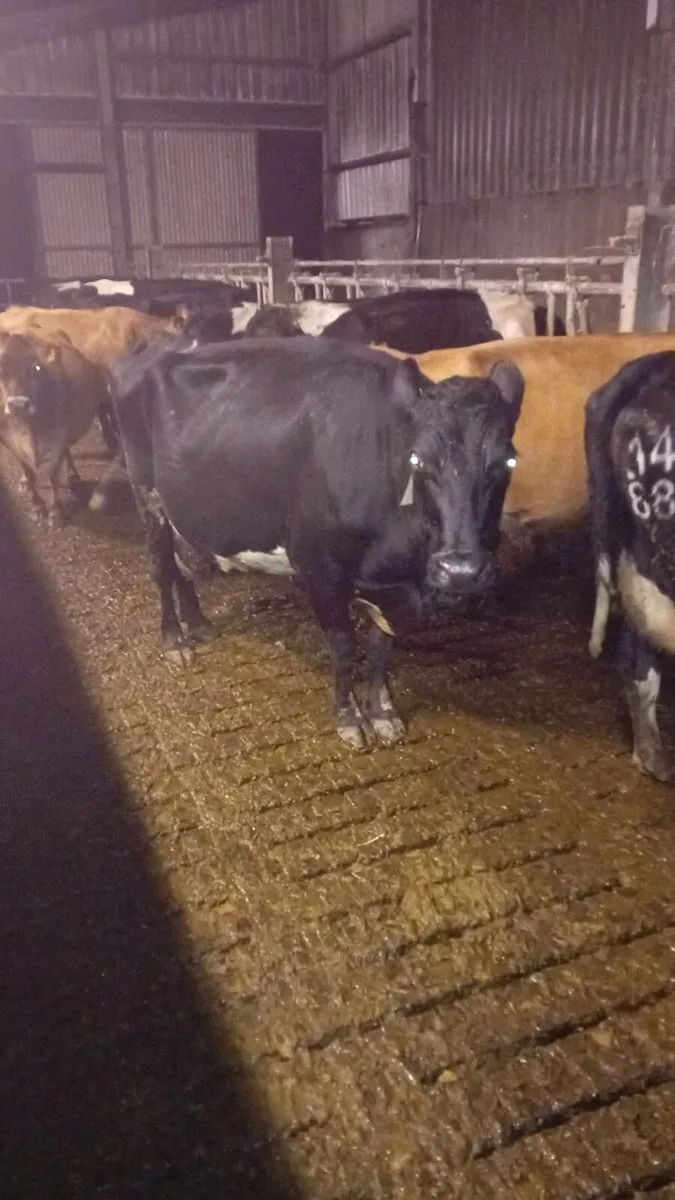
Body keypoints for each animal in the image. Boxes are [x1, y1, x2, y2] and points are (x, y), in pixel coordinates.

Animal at [0, 330, 110, 527]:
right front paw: (37, 508)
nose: (18, 405)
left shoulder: (60, 436)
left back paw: (73, 475)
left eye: (35, 368)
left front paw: (56, 512)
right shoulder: (7, 441)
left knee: (68, 453)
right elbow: (29, 472)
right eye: (1, 370)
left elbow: (52, 474)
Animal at [110, 336, 524, 749]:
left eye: (507, 463)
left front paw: (383, 713)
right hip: (146, 494)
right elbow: (343, 646)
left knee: (182, 566)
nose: (461, 570)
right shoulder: (320, 570)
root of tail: (159, 346)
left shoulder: (389, 586)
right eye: (418, 460)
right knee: (161, 567)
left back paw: (198, 624)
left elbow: (380, 650)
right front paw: (349, 717)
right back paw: (175, 640)